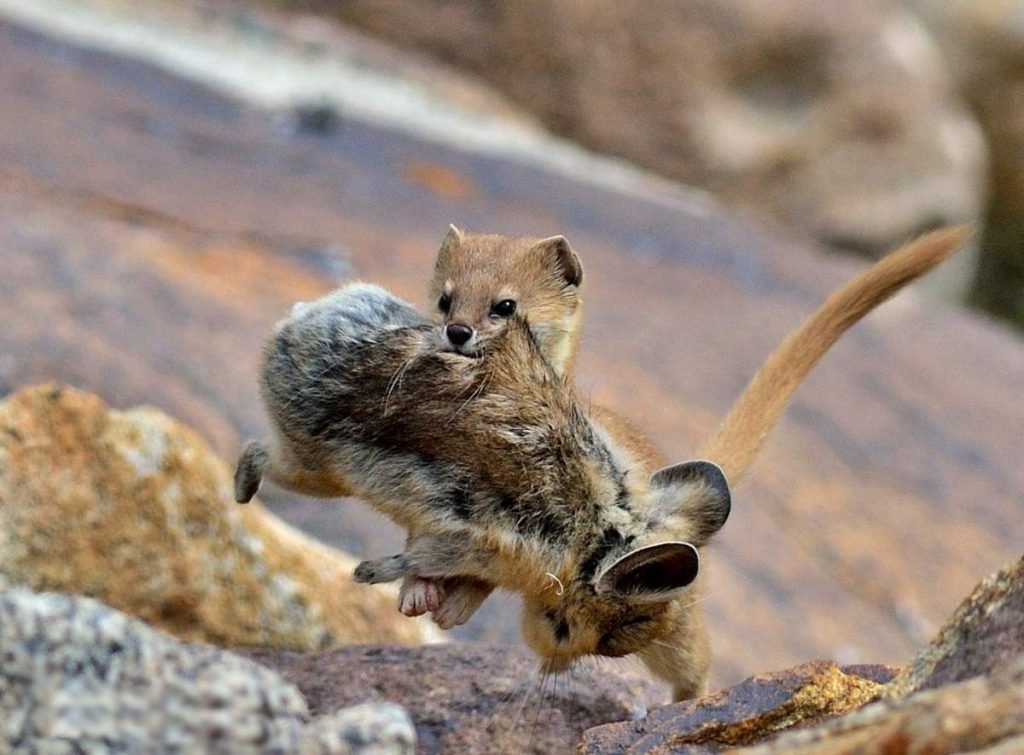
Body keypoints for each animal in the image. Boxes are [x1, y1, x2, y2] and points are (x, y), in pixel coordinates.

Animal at [235, 225, 970, 700]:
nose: (554, 667)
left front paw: (420, 597)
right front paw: (398, 584)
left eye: (507, 306)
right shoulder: (488, 541)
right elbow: (427, 555)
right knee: (259, 454)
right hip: (319, 468)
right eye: (566, 627)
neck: (594, 536)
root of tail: (299, 318)